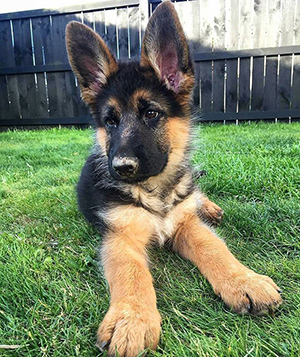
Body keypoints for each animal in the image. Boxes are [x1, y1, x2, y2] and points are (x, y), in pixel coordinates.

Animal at [65, 1, 282, 354]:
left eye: (151, 113)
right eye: (110, 121)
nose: (121, 167)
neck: (154, 191)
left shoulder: (186, 224)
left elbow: (214, 248)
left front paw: (244, 281)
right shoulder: (120, 237)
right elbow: (131, 273)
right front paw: (132, 320)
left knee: (195, 192)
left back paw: (209, 207)